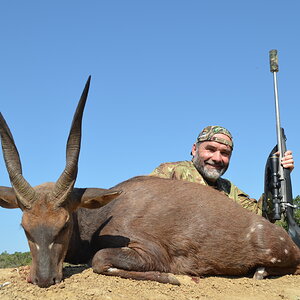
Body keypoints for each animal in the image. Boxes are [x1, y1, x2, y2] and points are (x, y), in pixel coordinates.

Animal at [0, 78, 300, 288]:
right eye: (25, 227)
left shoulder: (150, 251)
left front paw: (178, 278)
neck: (103, 215)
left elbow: (99, 259)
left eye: (63, 225)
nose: (43, 279)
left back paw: (259, 272)